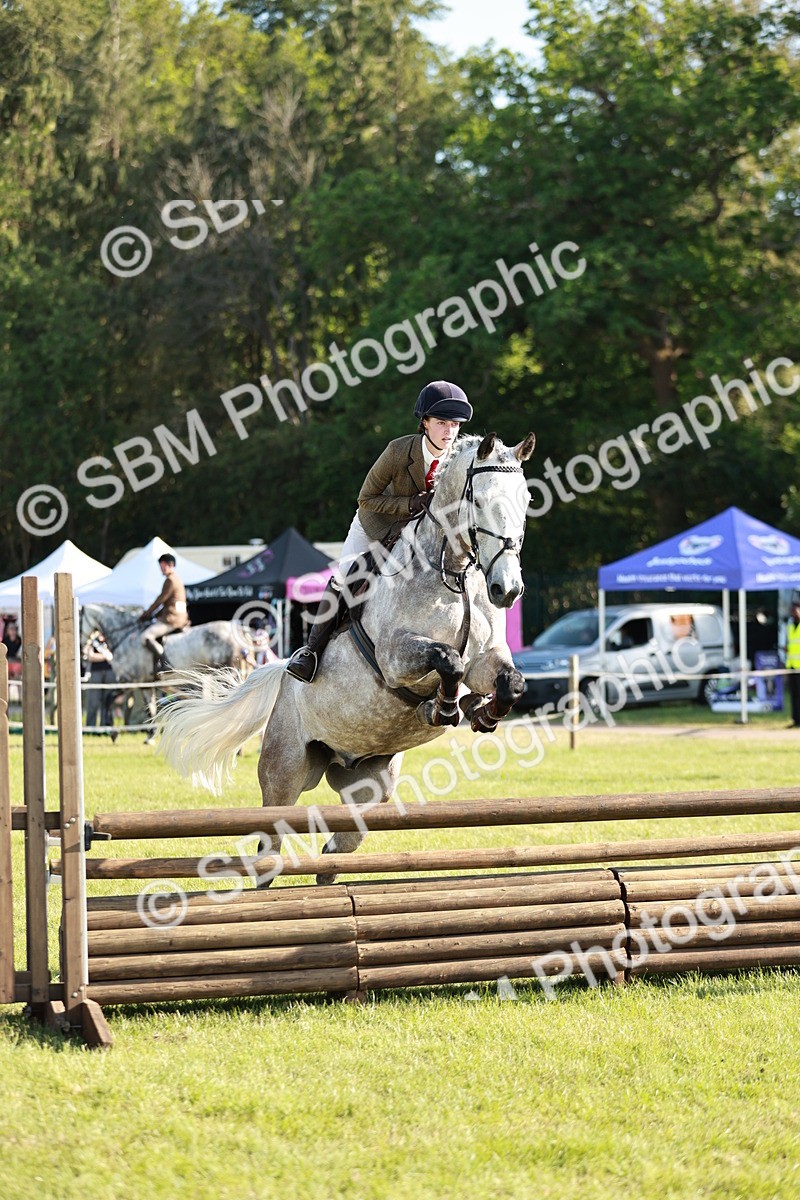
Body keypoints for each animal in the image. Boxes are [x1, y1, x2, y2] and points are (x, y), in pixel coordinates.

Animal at [155, 431, 534, 881]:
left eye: (526, 500)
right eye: (481, 501)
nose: (507, 590)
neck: (453, 571)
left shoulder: (487, 659)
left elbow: (509, 681)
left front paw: (482, 712)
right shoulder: (395, 658)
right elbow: (448, 661)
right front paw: (442, 709)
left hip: (373, 783)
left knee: (345, 839)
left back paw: (329, 864)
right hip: (286, 768)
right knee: (272, 838)